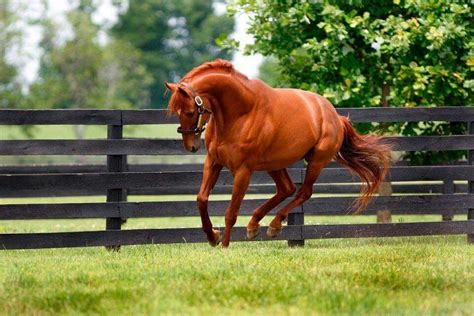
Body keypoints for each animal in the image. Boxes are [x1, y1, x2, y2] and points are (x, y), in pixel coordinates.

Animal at [166, 58, 388, 247]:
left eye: (190, 112)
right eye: (177, 112)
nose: (191, 146)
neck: (240, 113)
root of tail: (335, 116)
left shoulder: (243, 171)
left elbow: (231, 212)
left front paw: (225, 246)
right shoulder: (213, 162)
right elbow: (201, 199)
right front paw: (213, 237)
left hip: (316, 161)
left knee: (303, 192)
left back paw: (273, 226)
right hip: (275, 164)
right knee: (286, 189)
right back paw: (254, 226)